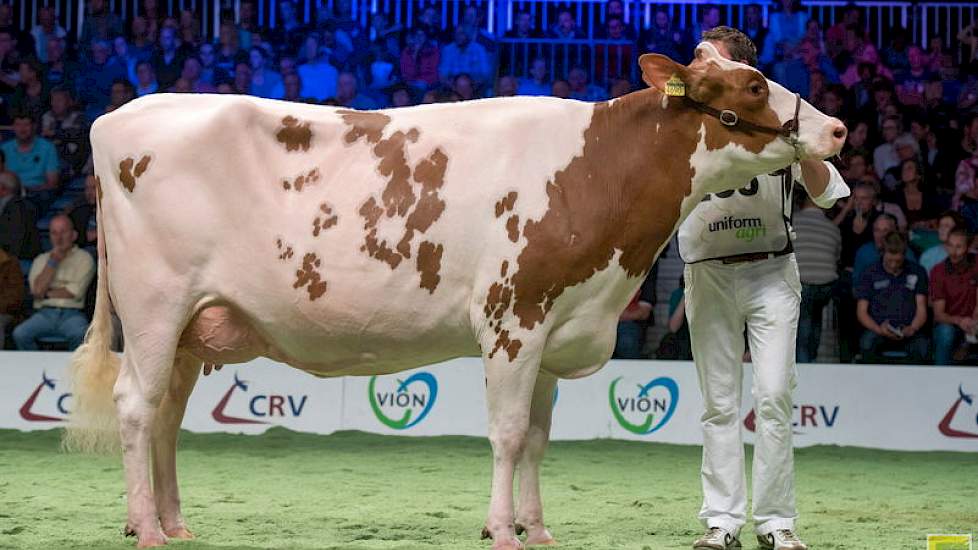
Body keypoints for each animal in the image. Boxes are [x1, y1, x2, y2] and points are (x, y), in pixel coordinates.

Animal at [66, 44, 848, 550]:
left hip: (194, 326)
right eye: (753, 86)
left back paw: (170, 522)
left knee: (167, 417)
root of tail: (117, 118)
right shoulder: (512, 318)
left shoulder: (554, 328)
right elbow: (506, 434)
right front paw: (502, 530)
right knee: (137, 407)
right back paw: (146, 529)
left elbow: (536, 439)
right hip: (155, 307)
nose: (839, 127)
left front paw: (538, 528)